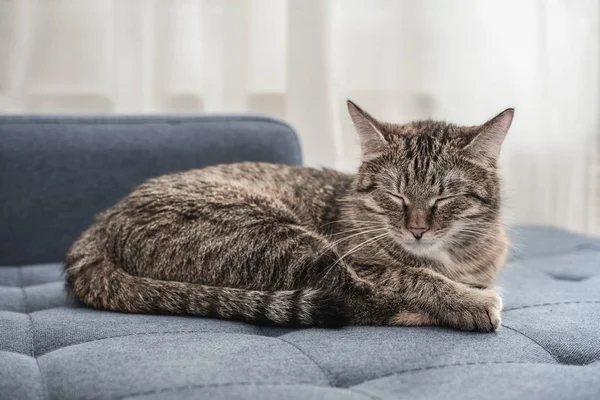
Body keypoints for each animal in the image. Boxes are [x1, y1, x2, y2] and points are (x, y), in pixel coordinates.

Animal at [67, 100, 516, 332]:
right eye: (395, 194)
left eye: (446, 196)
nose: (417, 229)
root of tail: (98, 228)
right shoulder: (361, 260)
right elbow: (410, 276)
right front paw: (465, 299)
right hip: (280, 240)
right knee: (355, 299)